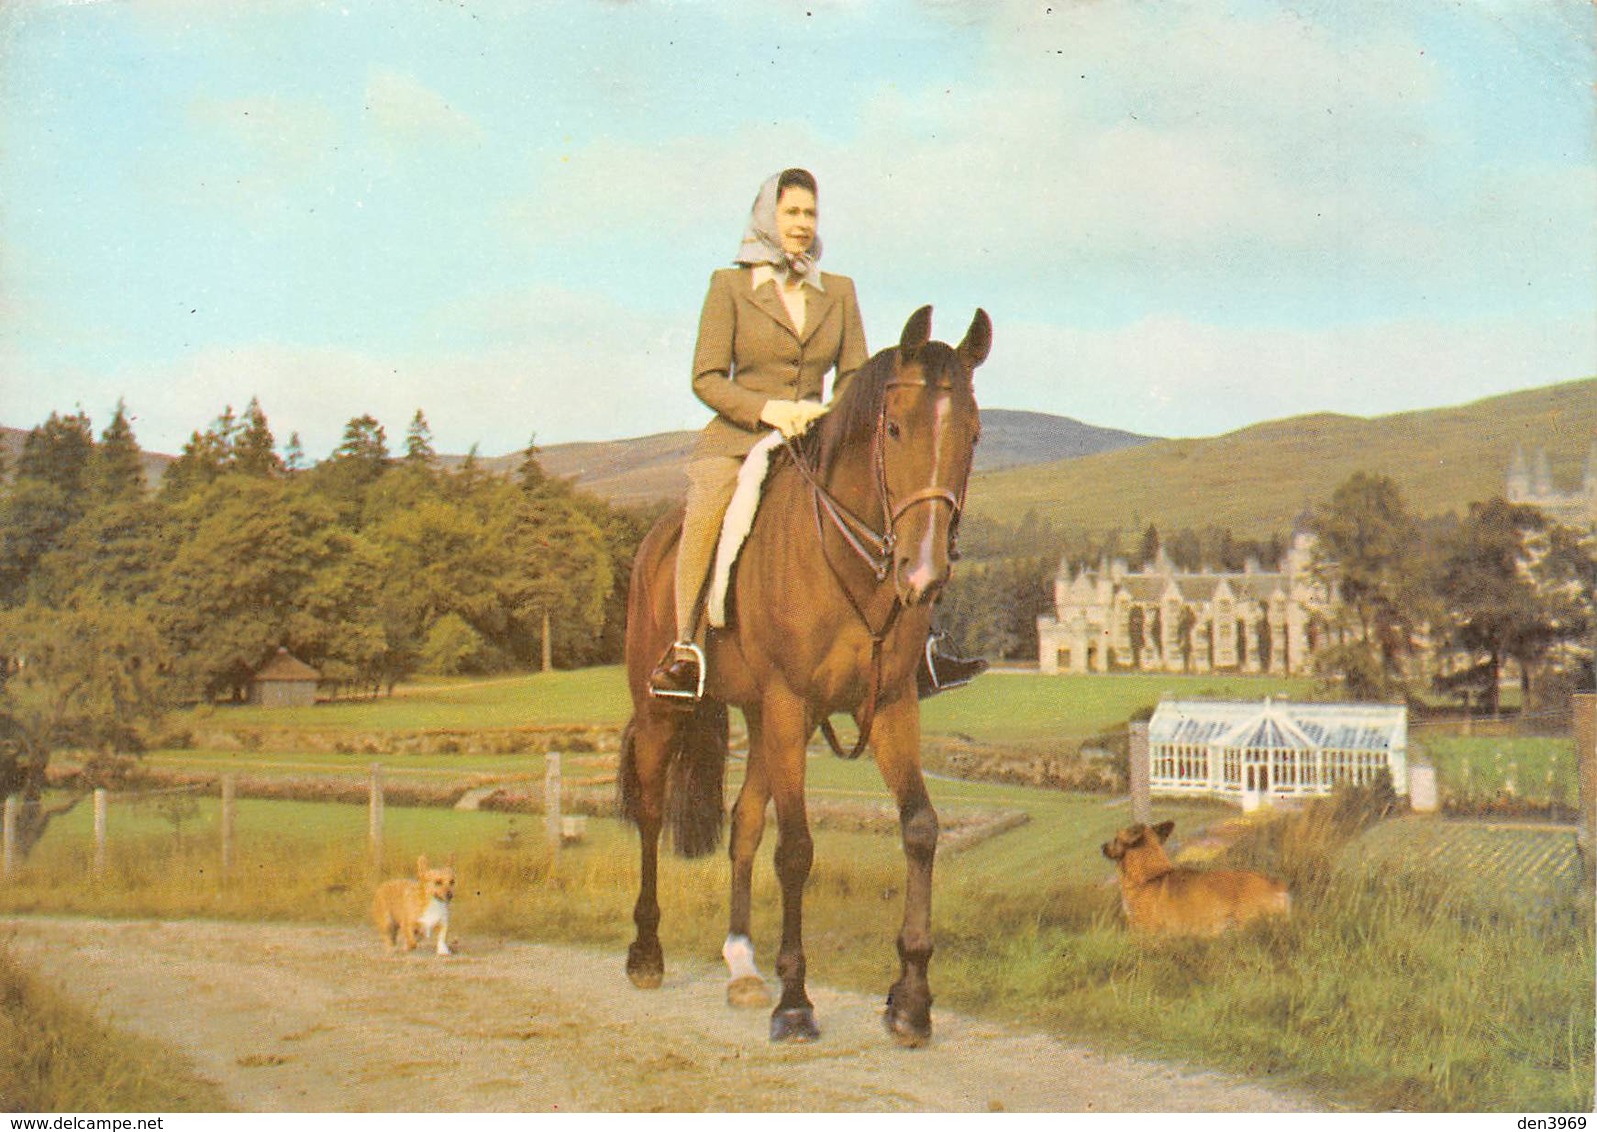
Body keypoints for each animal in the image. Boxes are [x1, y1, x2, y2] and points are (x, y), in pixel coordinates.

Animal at [619, 304, 983, 1047]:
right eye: (895, 429)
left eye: (973, 435)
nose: (923, 576)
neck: (853, 567)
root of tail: (656, 539)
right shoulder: (792, 704)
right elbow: (796, 851)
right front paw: (796, 1002)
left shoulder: (890, 705)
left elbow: (920, 828)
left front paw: (910, 999)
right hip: (664, 708)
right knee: (650, 811)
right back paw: (646, 952)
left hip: (761, 718)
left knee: (742, 825)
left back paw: (741, 966)